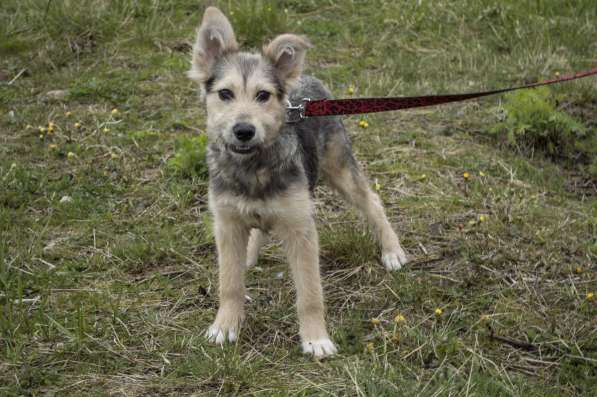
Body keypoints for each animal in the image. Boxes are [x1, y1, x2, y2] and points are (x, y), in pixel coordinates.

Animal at [189, 6, 408, 356]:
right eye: (225, 93)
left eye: (263, 95)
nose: (243, 130)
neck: (254, 166)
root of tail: (309, 79)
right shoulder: (227, 224)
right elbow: (230, 284)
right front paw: (225, 326)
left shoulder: (301, 230)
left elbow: (309, 293)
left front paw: (315, 338)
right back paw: (249, 256)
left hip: (339, 167)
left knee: (372, 201)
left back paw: (391, 250)